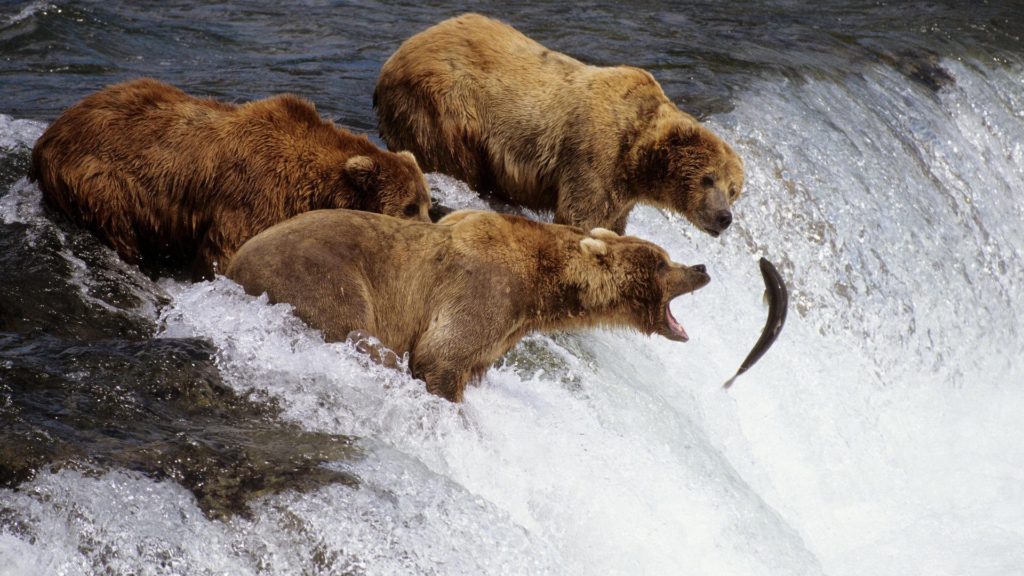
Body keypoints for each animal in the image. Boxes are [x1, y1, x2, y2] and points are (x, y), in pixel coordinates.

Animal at [30, 77, 433, 279]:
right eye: (409, 207)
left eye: (427, 204)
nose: (430, 231)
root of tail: (48, 135)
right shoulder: (254, 194)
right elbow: (226, 251)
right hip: (100, 179)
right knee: (117, 227)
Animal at [226, 208, 711, 402]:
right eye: (663, 262)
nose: (702, 267)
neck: (541, 285)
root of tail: (232, 264)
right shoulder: (484, 289)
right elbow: (441, 354)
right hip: (322, 277)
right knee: (356, 331)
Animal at [373, 13, 744, 236]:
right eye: (708, 178)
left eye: (733, 190)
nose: (724, 217)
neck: (637, 157)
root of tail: (396, 56)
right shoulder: (595, 155)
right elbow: (582, 216)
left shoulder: (622, 191)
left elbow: (612, 223)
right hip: (443, 106)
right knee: (453, 159)